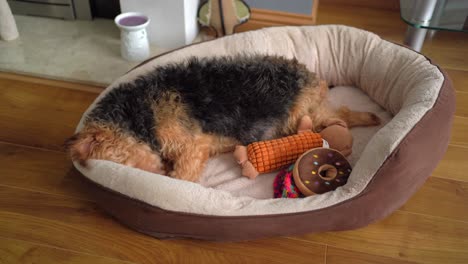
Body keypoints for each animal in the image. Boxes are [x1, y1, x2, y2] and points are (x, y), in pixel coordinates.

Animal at [66, 55, 380, 183]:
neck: (138, 114)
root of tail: (311, 76)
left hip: (305, 115)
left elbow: (182, 177)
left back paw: (370, 117)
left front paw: (172, 181)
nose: (158, 173)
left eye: (122, 164)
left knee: (343, 114)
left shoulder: (191, 149)